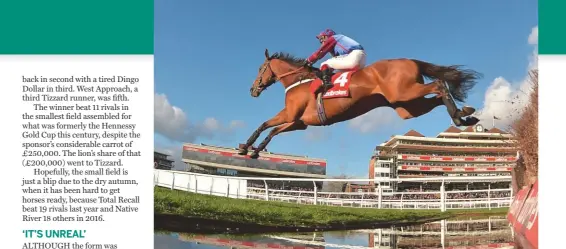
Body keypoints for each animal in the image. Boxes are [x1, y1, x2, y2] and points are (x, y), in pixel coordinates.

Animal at [237, 49, 482, 159]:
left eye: (260, 69)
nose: (252, 89)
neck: (298, 80)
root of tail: (410, 61)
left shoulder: (292, 116)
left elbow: (271, 129)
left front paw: (254, 149)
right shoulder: (299, 122)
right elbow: (267, 126)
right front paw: (247, 147)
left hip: (405, 92)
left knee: (439, 85)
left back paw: (460, 115)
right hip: (406, 106)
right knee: (437, 97)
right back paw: (463, 115)